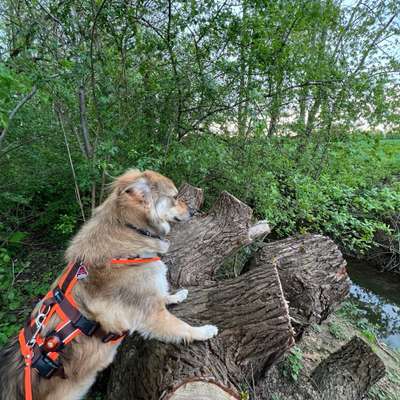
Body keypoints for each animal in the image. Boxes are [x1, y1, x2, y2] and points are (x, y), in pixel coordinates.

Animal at [0, 170, 219, 400]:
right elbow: (180, 327)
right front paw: (203, 331)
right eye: (175, 197)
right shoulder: (151, 315)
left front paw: (176, 296)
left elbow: (163, 295)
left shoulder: (148, 297)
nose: (194, 211)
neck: (130, 231)